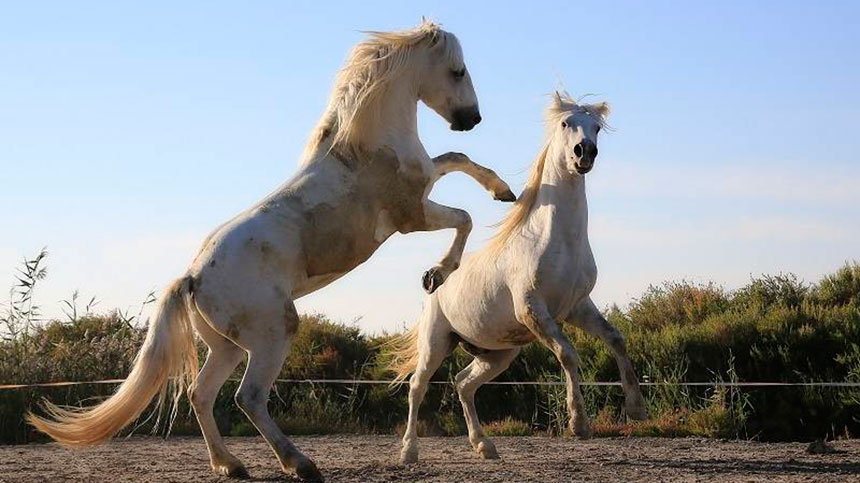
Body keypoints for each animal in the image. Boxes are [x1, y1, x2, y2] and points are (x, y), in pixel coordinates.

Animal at [26, 20, 512, 482]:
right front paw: (437, 273)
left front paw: (502, 191)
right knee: (249, 397)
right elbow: (464, 215)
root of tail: (193, 278)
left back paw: (231, 465)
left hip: (226, 347)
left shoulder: (424, 184)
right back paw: (300, 464)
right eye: (457, 70)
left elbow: (458, 160)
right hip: (274, 332)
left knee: (201, 394)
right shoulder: (411, 216)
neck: (365, 147)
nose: (472, 118)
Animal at [388, 91, 644, 466]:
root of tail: (434, 286)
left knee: (463, 384)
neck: (558, 240)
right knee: (417, 388)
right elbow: (568, 354)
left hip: (498, 353)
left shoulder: (577, 307)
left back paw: (485, 446)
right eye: (566, 123)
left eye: (596, 128)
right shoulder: (533, 310)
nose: (584, 153)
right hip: (436, 342)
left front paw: (636, 408)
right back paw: (409, 452)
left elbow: (616, 339)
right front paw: (579, 424)